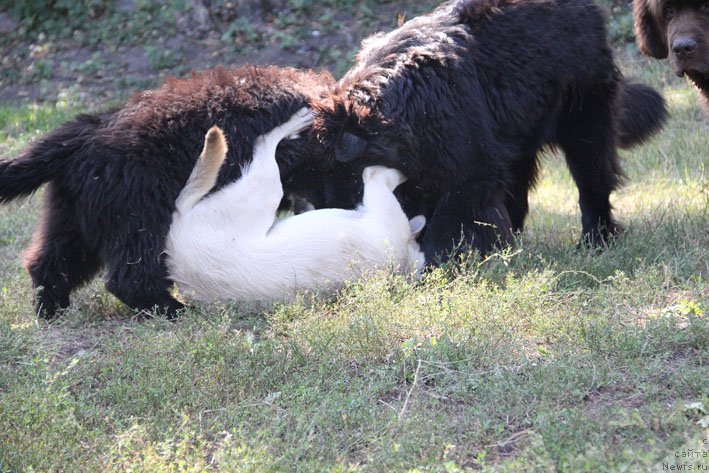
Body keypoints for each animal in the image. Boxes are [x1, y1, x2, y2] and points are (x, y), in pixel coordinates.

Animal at [0, 65, 334, 318]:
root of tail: (80, 135)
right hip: (137, 211)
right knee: (130, 276)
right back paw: (173, 310)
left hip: (75, 213)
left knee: (50, 262)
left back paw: (51, 311)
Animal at [165, 109, 426, 302]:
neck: (401, 257)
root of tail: (177, 253)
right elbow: (383, 172)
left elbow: (377, 172)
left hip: (265, 188)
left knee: (264, 142)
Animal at [308, 0, 664, 262]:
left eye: (352, 188)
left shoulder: (463, 157)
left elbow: (455, 211)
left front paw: (438, 259)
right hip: (520, 127)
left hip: (583, 104)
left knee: (591, 170)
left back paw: (595, 239)